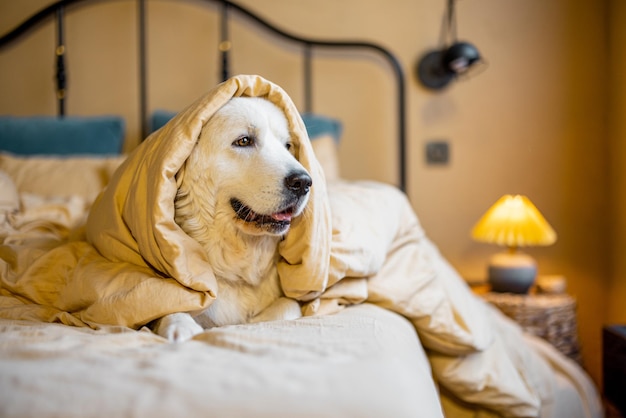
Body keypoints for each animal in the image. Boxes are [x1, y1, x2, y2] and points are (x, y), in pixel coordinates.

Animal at [152, 98, 312, 342]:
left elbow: (289, 305)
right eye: (244, 141)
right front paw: (180, 327)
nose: (303, 182)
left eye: (287, 146)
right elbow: (168, 305)